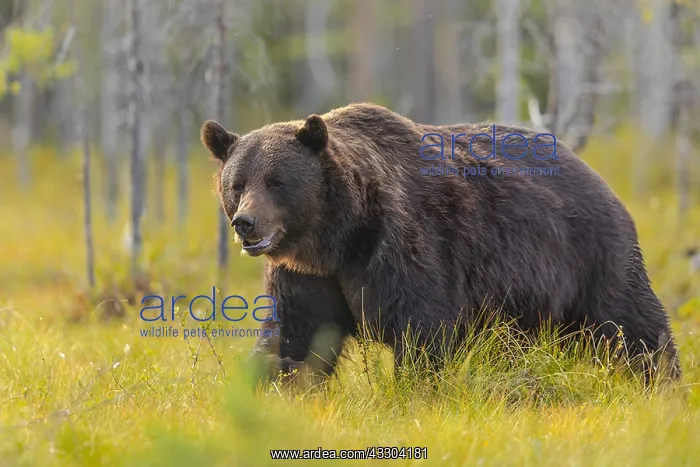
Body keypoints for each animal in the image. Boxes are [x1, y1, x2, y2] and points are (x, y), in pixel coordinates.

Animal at [200, 102, 681, 383]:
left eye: (277, 182)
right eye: (237, 184)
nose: (246, 223)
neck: (338, 237)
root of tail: (597, 174)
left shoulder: (406, 247)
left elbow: (421, 331)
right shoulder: (309, 277)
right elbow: (292, 339)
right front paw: (274, 388)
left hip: (591, 255)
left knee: (631, 324)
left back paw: (661, 380)